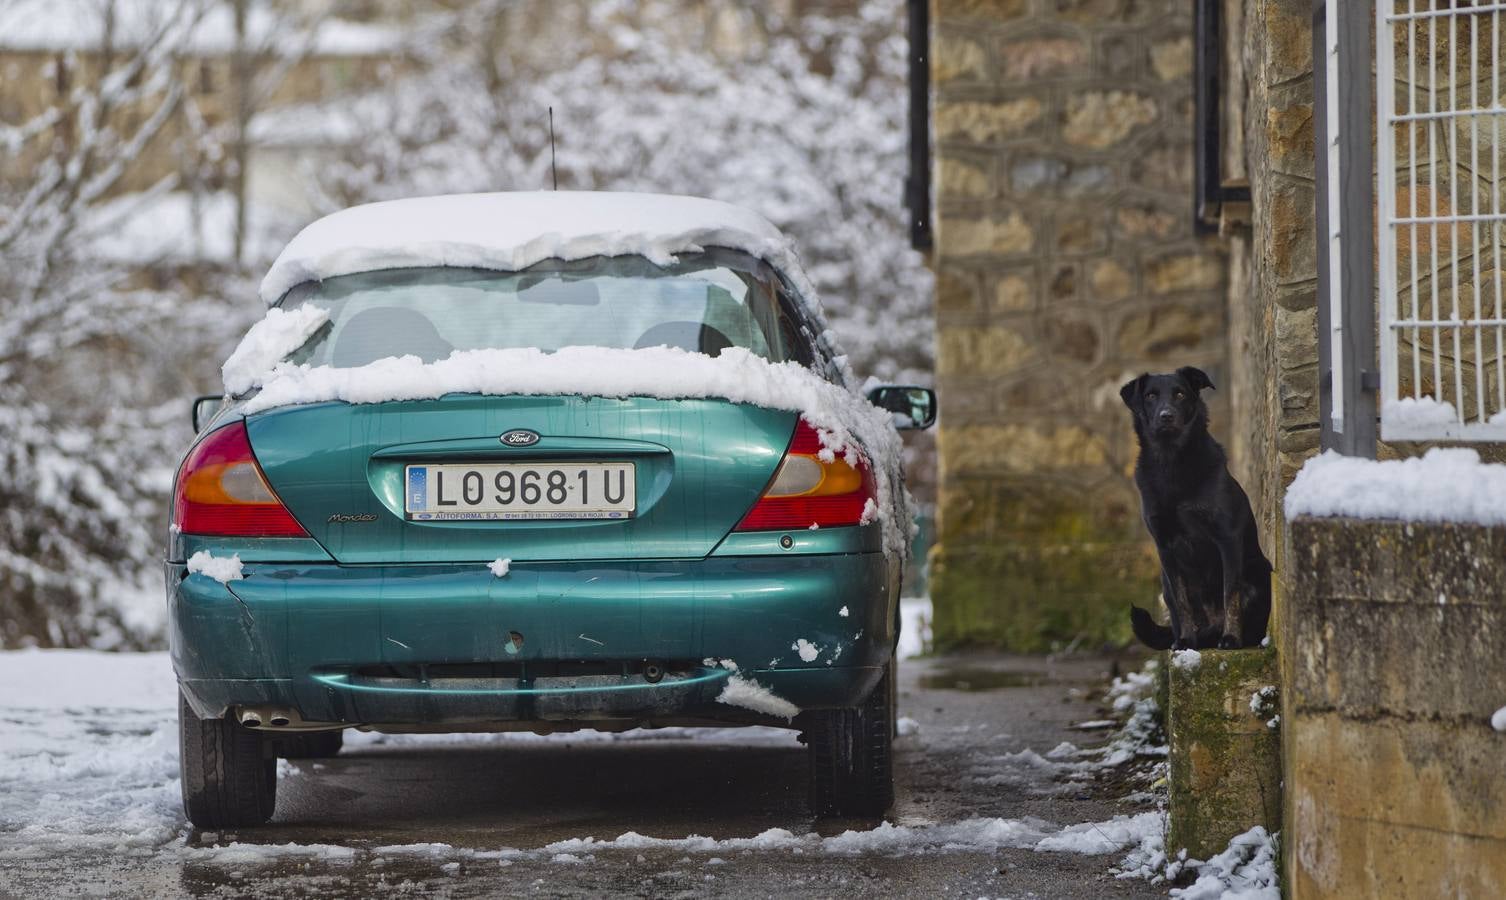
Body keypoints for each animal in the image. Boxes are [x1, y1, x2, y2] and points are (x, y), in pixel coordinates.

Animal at [1120, 370, 1271, 653]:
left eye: (1180, 393)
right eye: (1150, 396)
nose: (1165, 415)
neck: (1171, 462)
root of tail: (1211, 629)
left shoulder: (1227, 539)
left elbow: (1230, 593)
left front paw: (1231, 638)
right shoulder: (1165, 547)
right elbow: (1182, 602)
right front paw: (1185, 642)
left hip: (1259, 569)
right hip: (1163, 580)